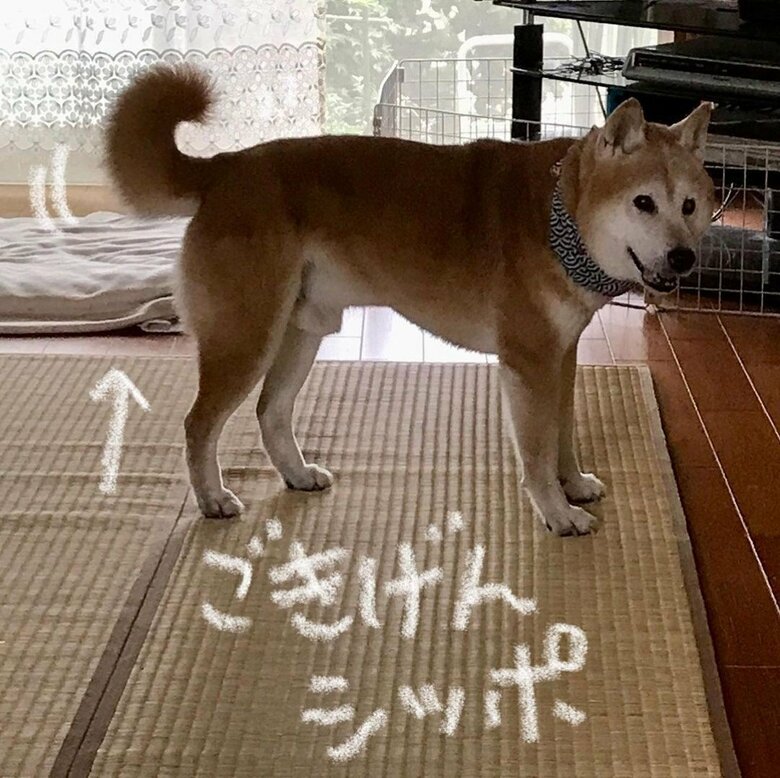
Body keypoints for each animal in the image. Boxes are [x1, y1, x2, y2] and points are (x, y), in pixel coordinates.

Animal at [105, 64, 714, 536]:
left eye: (689, 205)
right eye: (643, 203)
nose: (684, 259)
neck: (558, 217)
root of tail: (226, 166)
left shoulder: (562, 358)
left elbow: (563, 437)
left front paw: (576, 485)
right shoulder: (529, 363)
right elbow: (538, 452)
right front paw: (557, 514)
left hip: (302, 332)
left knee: (269, 413)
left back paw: (298, 476)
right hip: (248, 337)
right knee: (198, 424)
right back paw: (212, 500)